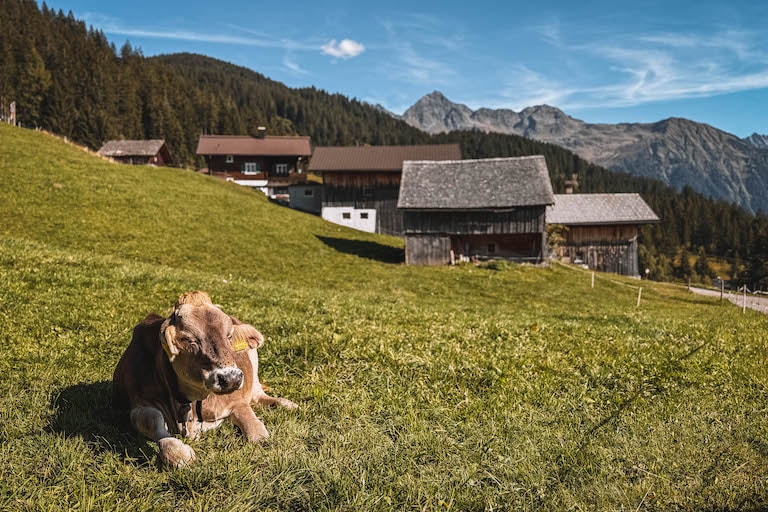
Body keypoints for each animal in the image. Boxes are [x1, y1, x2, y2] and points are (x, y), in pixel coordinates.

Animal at [112, 291, 297, 468]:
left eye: (229, 335)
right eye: (187, 339)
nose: (231, 378)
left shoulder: (236, 401)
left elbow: (257, 433)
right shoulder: (139, 401)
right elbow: (151, 419)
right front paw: (177, 451)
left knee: (258, 395)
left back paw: (287, 404)